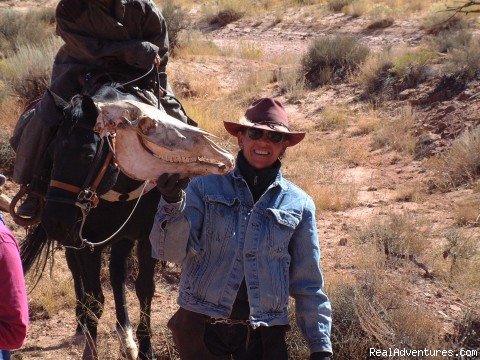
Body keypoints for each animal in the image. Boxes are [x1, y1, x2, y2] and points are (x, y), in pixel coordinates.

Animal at [22, 86, 162, 360]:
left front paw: (146, 348)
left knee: (117, 273)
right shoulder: (87, 242)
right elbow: (94, 298)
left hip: (120, 237)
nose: (54, 222)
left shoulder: (147, 237)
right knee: (77, 275)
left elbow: (144, 289)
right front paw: (90, 348)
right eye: (50, 154)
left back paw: (125, 335)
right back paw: (81, 325)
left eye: (87, 155)